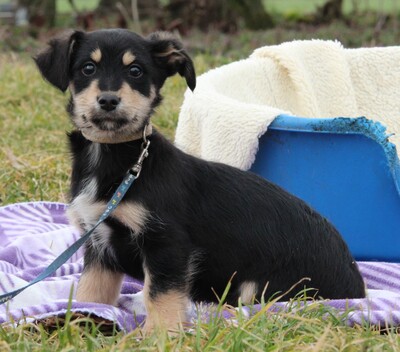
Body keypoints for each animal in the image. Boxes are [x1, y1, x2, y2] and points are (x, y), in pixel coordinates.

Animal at [34, 28, 366, 332]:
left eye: (136, 70)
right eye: (88, 68)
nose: (107, 100)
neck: (114, 155)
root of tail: (358, 288)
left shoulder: (167, 243)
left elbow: (161, 294)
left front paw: (161, 335)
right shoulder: (98, 245)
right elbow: (91, 293)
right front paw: (80, 321)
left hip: (264, 288)